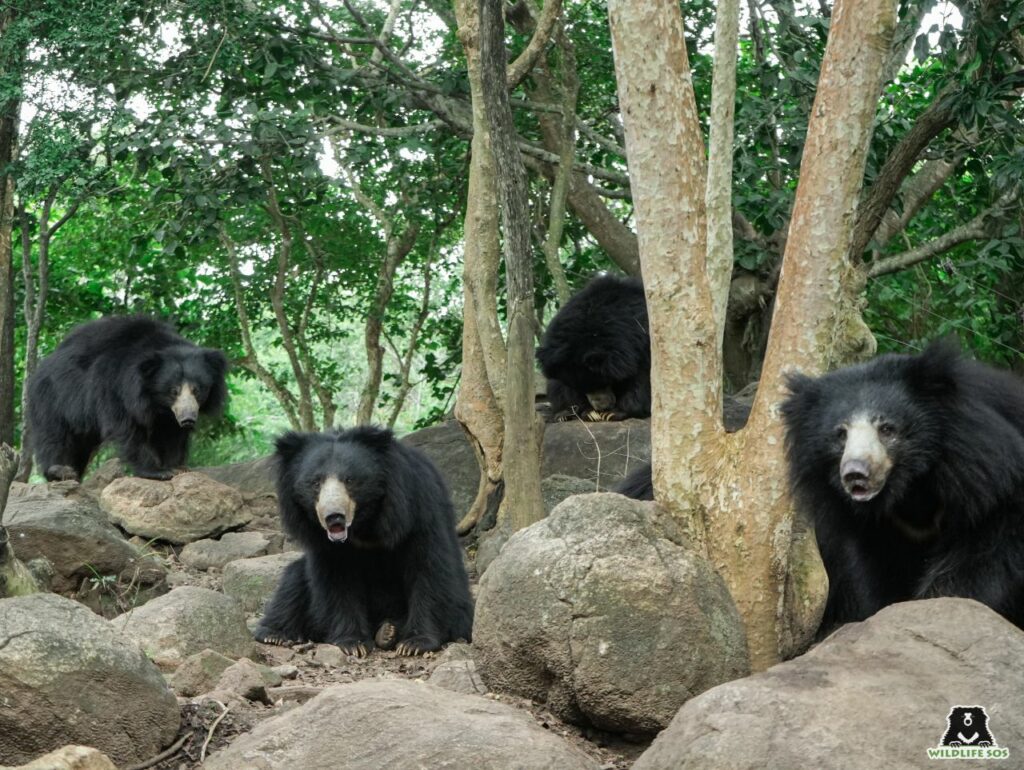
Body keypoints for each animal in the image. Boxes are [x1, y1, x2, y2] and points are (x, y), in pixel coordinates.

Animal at [26, 316, 227, 481]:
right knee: (54, 435)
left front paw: (178, 467)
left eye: (197, 390)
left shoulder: (168, 415)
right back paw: (60, 470)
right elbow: (127, 429)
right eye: (173, 391)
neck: (155, 404)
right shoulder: (112, 386)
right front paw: (158, 472)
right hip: (53, 396)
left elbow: (172, 433)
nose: (188, 419)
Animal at [253, 426, 474, 657]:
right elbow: (337, 581)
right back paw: (274, 634)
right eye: (315, 482)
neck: (364, 525)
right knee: (293, 581)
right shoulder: (327, 547)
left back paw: (388, 632)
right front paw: (353, 643)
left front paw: (415, 643)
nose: (334, 517)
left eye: (350, 480)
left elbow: (428, 569)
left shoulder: (419, 509)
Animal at [537, 274, 650, 422]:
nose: (600, 406)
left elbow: (642, 378)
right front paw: (587, 412)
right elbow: (560, 386)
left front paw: (614, 412)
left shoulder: (642, 341)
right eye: (580, 387)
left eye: (604, 382)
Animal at [780, 340, 1024, 638]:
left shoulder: (989, 486)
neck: (911, 489)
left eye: (887, 429)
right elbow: (880, 574)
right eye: (840, 434)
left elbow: (983, 560)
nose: (855, 473)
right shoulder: (876, 530)